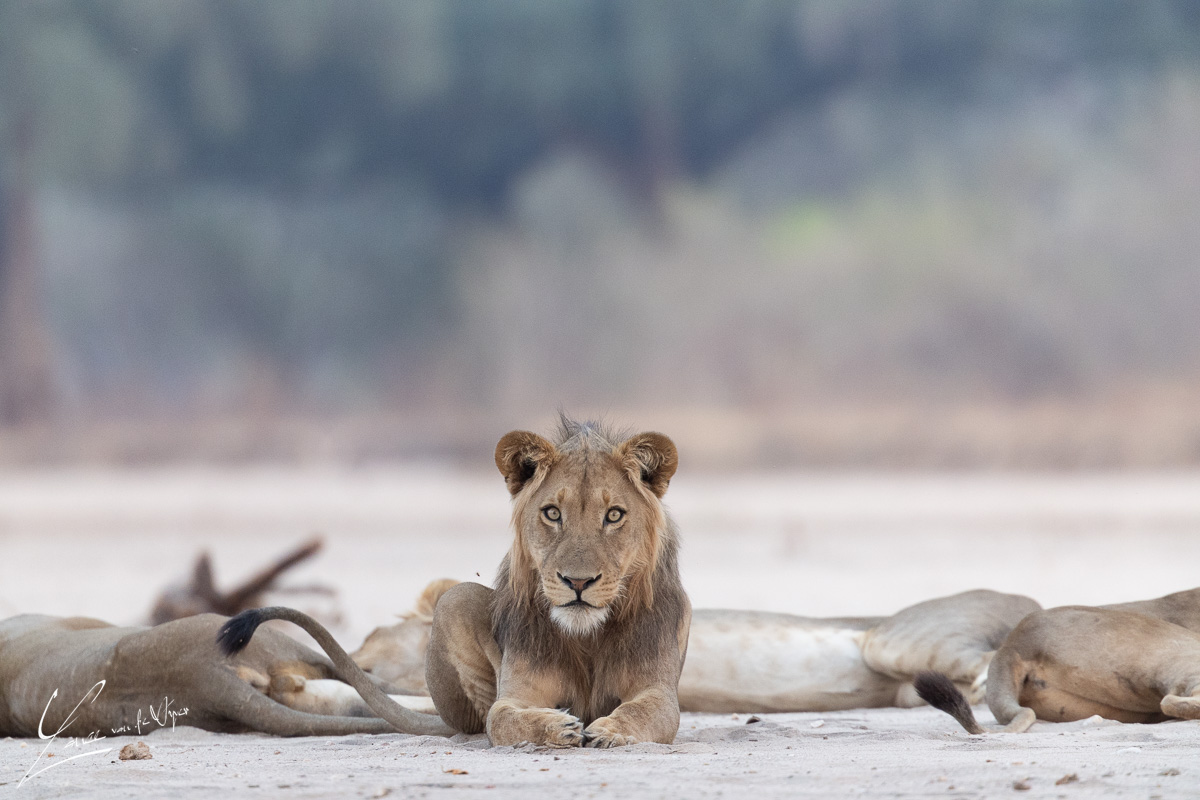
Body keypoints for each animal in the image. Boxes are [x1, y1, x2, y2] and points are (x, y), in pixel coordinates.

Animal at [218, 419, 686, 753]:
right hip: (454, 600)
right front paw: (558, 726)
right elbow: (503, 717)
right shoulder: (516, 693)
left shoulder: (659, 691)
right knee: (476, 721)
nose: (577, 582)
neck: (586, 637)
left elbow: (643, 711)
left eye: (614, 515)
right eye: (553, 513)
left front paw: (609, 730)